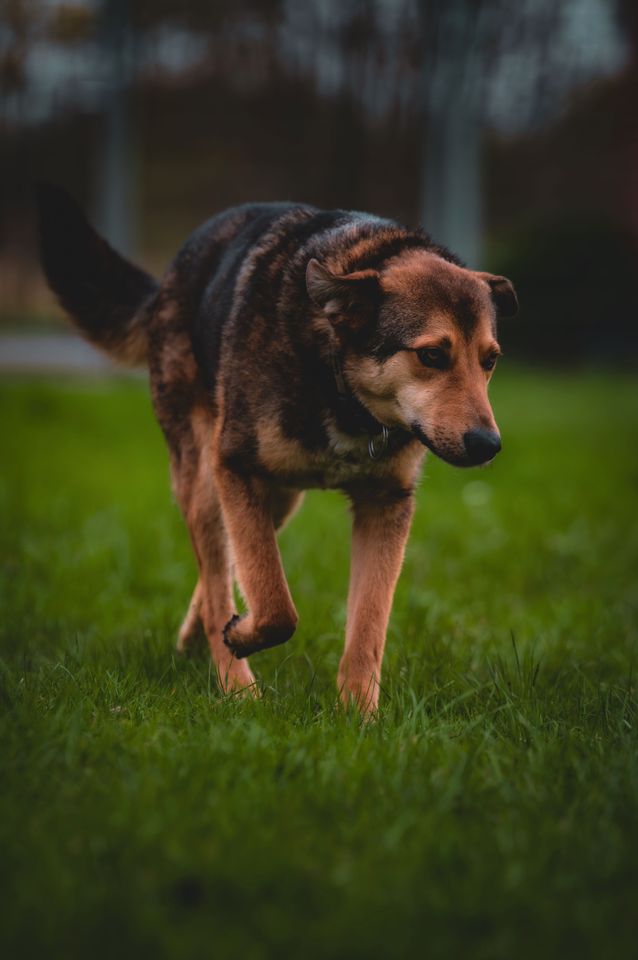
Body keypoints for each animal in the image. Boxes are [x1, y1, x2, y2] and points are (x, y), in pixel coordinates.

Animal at [36, 188, 520, 712]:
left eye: (490, 360)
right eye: (431, 355)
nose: (488, 445)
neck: (339, 386)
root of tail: (166, 282)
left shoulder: (386, 501)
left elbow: (368, 624)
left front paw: (359, 717)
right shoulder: (236, 467)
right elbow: (274, 603)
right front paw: (241, 641)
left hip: (278, 499)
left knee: (219, 571)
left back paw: (197, 641)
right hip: (207, 480)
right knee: (218, 576)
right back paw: (236, 685)